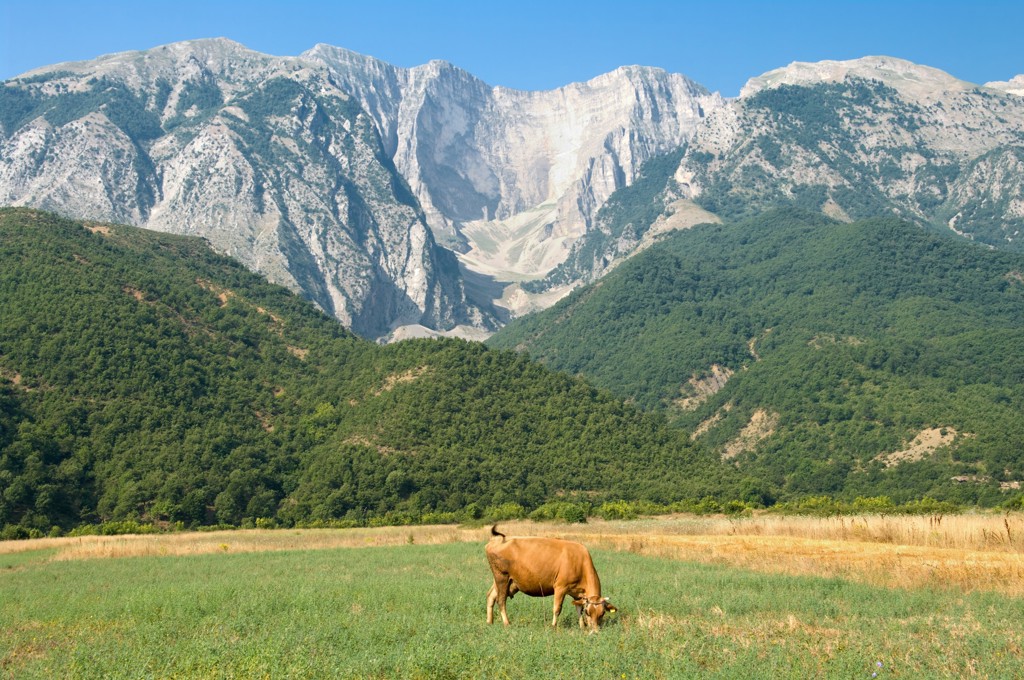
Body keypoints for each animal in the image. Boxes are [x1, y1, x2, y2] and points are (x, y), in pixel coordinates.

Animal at [485, 525, 617, 631]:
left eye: (602, 613)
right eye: (588, 612)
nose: (595, 630)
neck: (580, 561)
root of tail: (496, 542)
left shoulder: (577, 593)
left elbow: (578, 608)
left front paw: (582, 626)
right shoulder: (560, 587)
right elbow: (557, 608)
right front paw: (553, 626)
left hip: (506, 581)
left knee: (491, 595)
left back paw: (489, 622)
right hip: (502, 577)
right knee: (501, 600)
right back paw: (506, 623)